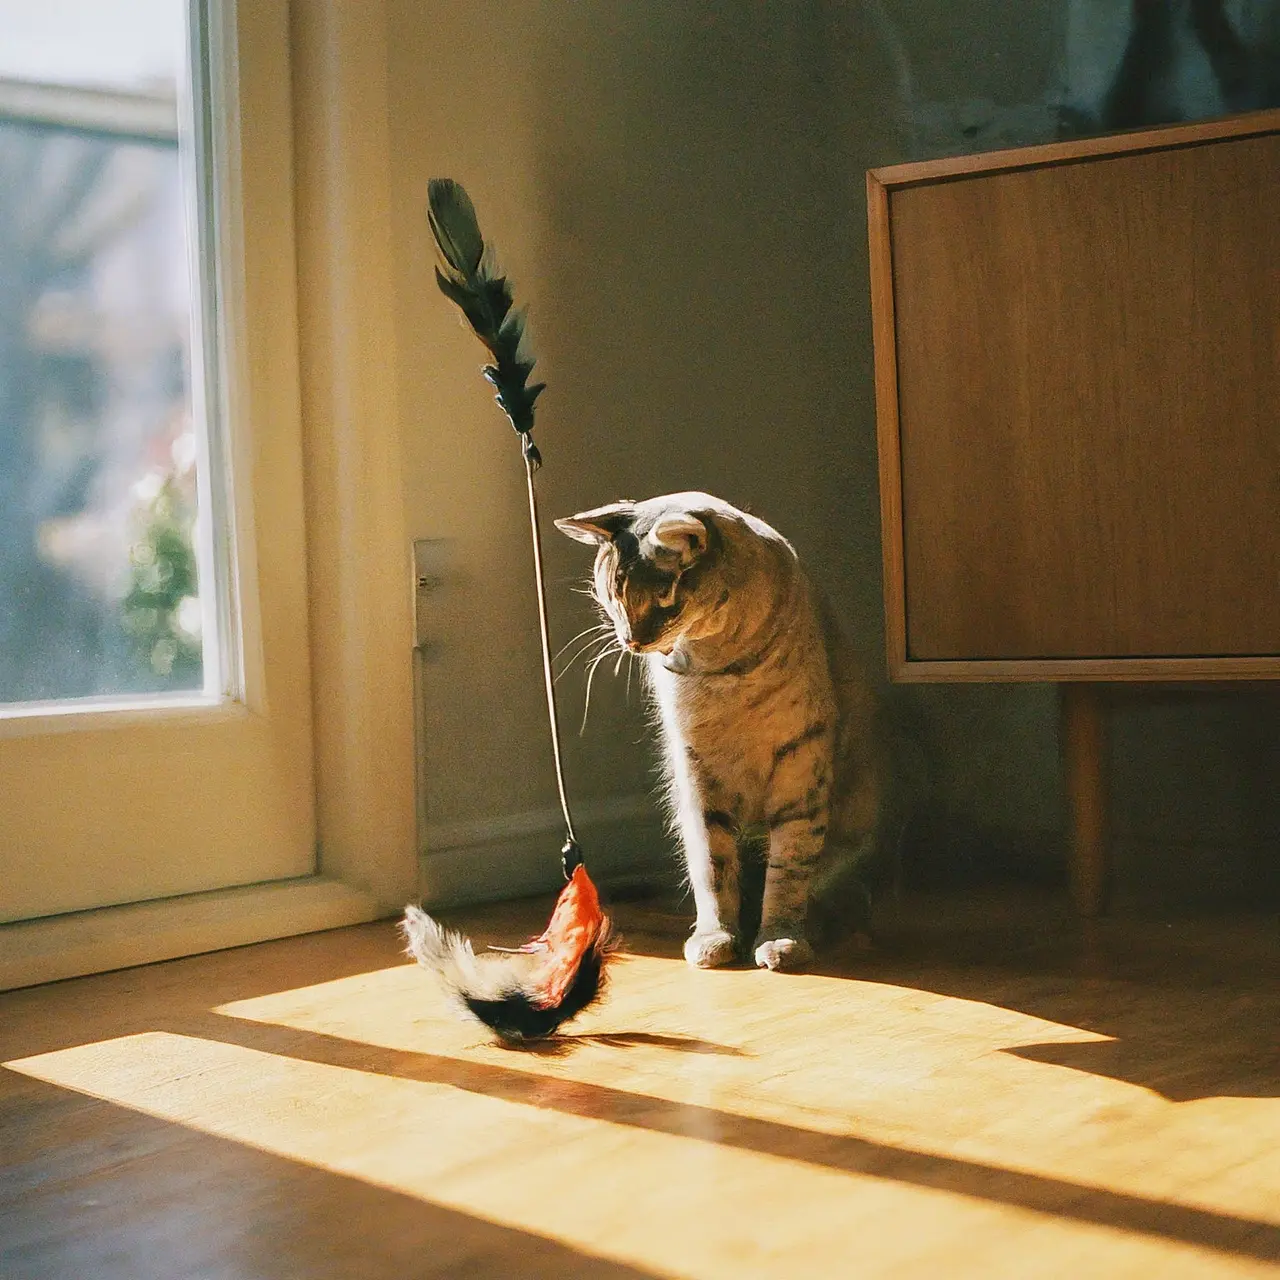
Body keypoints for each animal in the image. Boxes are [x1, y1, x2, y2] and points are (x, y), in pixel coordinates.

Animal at [555, 488, 885, 967]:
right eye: (611, 600)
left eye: (664, 601)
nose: (630, 641)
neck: (718, 666)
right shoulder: (696, 773)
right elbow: (713, 867)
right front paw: (716, 938)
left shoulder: (799, 764)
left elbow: (787, 871)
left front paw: (780, 940)